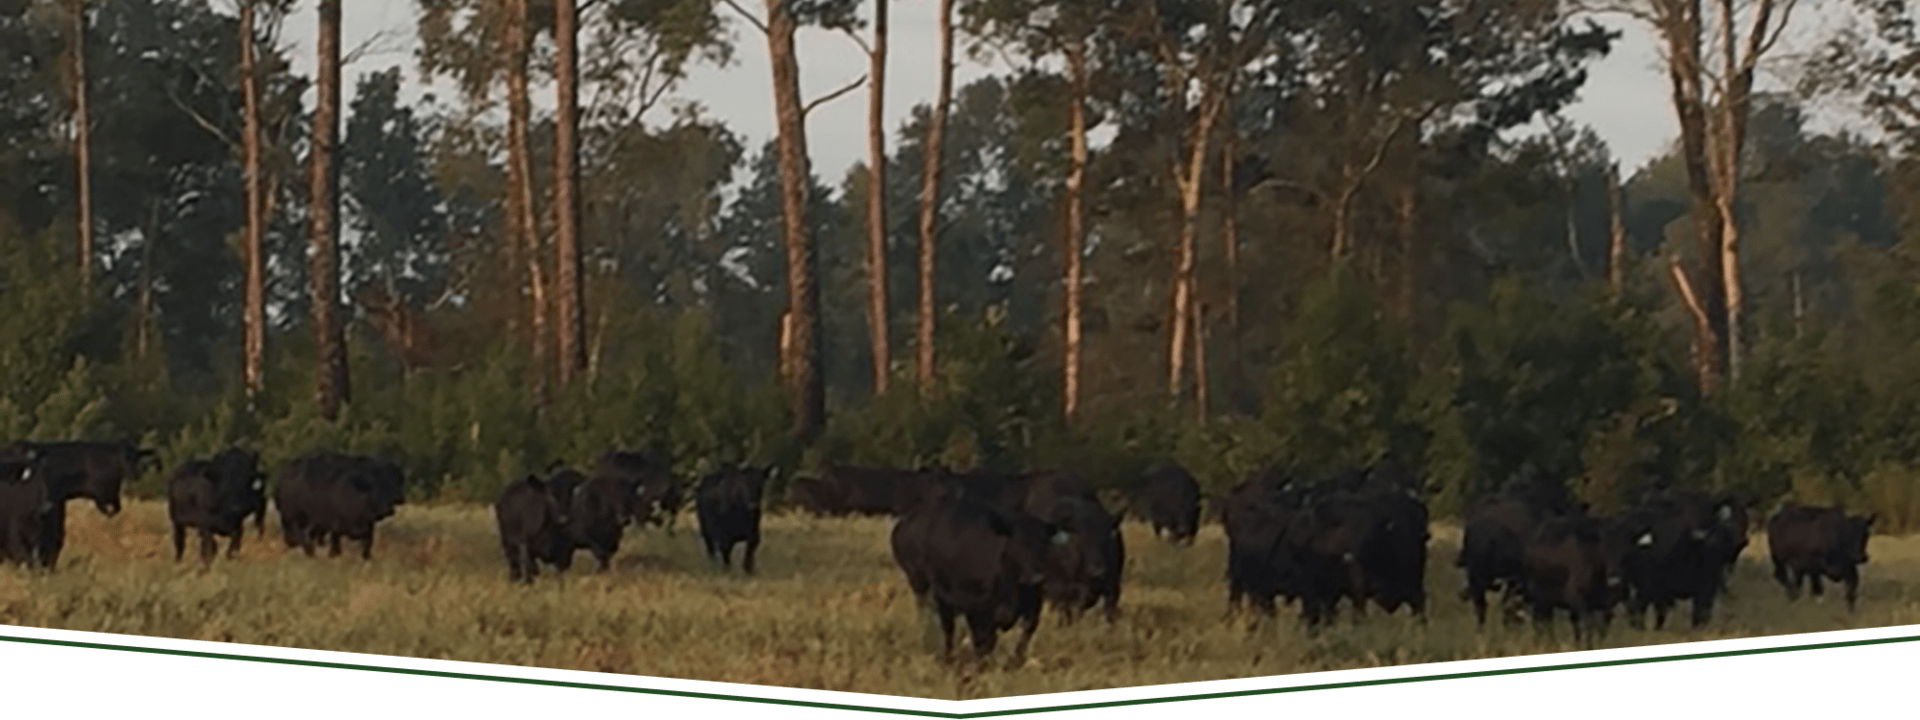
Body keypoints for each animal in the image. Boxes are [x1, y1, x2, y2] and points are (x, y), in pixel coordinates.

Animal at [889, 480, 1061, 669]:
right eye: (1016, 543)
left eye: (1045, 544)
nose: (1035, 576)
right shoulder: (976, 608)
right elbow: (983, 642)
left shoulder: (1033, 608)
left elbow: (1022, 639)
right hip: (923, 585)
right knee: (939, 623)